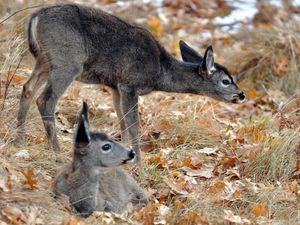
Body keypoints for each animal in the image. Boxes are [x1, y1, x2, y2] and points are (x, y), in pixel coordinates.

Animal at [15, 3, 244, 162]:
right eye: (226, 81)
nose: (241, 95)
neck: (160, 72)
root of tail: (35, 17)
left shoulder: (116, 87)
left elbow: (123, 123)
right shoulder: (129, 84)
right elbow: (134, 126)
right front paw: (138, 167)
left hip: (45, 60)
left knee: (27, 88)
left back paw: (20, 140)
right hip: (67, 61)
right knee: (46, 99)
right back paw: (57, 152)